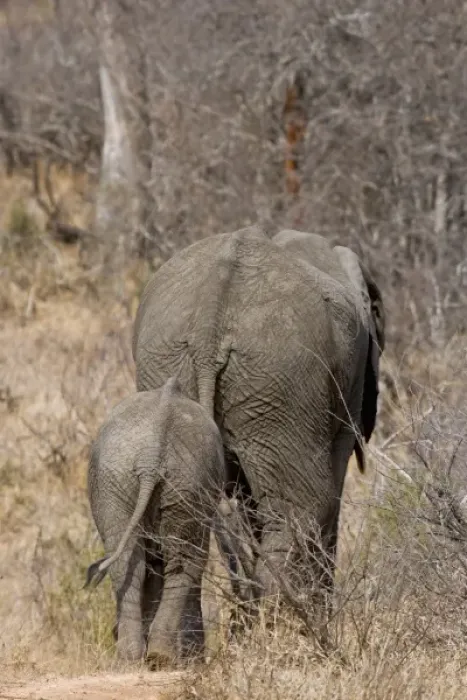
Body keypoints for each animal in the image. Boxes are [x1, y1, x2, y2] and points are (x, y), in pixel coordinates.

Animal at [85, 377, 226, 665]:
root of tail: (152, 456)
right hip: (184, 482)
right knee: (185, 562)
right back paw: (161, 657)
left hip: (124, 479)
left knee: (130, 561)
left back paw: (133, 658)